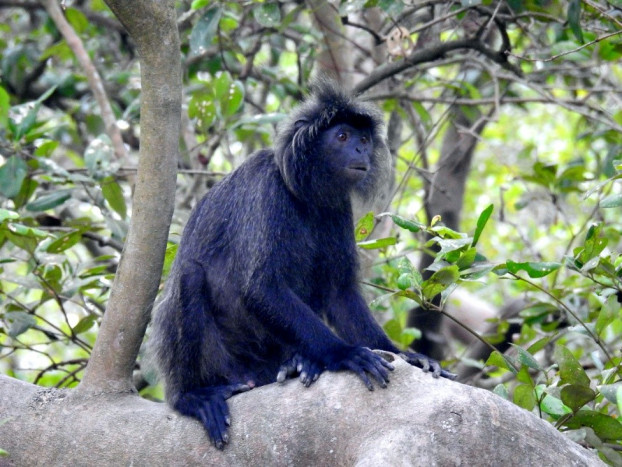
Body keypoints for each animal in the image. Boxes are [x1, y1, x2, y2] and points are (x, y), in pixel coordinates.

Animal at [149, 79, 456, 450]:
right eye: (342, 137)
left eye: (364, 139)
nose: (360, 152)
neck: (304, 193)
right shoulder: (267, 187)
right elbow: (261, 288)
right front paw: (344, 353)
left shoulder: (337, 207)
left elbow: (339, 293)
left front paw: (405, 354)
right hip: (220, 363)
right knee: (190, 275)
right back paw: (192, 397)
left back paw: (298, 363)